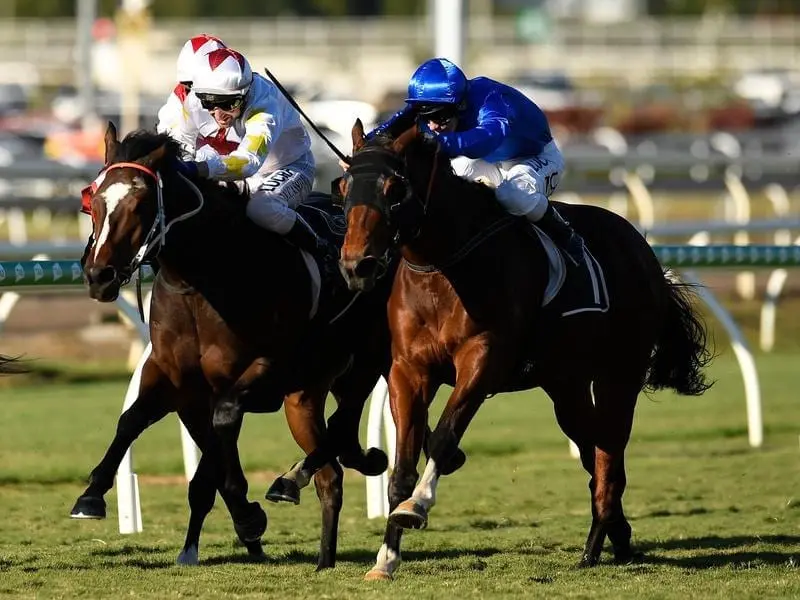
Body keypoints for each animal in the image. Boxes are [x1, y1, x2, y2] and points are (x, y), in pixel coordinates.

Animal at [72, 120, 394, 568]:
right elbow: (132, 420)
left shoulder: (260, 372)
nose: (98, 276)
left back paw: (293, 491)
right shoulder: (173, 378)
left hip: (362, 367)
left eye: (139, 205)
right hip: (304, 397)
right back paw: (322, 553)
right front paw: (91, 495)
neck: (203, 280)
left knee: (341, 435)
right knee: (331, 474)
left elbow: (220, 430)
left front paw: (247, 520)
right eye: (93, 203)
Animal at [338, 119, 712, 580]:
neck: (444, 266)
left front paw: (417, 507)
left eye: (394, 188)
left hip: (619, 374)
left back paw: (595, 547)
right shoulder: (409, 371)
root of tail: (642, 248)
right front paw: (386, 559)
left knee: (609, 454)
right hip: (566, 385)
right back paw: (616, 537)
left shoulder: (483, 361)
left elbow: (443, 438)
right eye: (343, 186)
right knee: (593, 451)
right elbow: (401, 468)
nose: (357, 265)